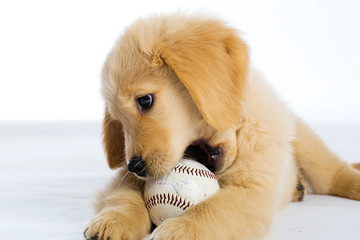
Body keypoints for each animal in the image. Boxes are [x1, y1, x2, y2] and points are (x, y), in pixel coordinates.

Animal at [84, 14, 360, 239]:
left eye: (145, 100)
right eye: (119, 122)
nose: (135, 165)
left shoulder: (253, 189)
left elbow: (211, 209)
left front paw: (182, 229)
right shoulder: (124, 178)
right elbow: (124, 195)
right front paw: (114, 220)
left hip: (304, 139)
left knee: (332, 173)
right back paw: (297, 188)